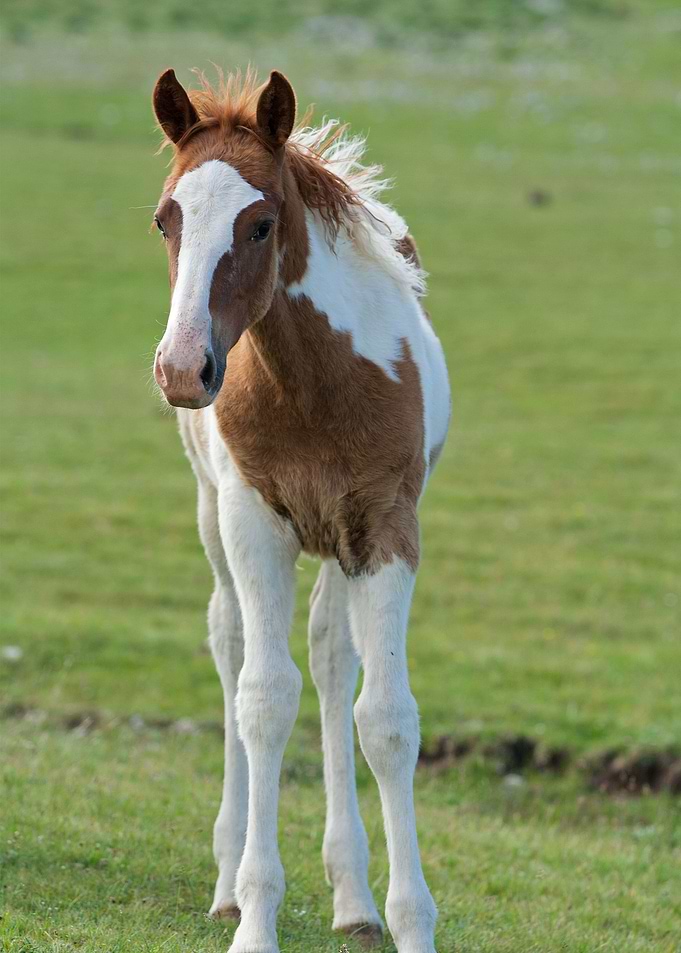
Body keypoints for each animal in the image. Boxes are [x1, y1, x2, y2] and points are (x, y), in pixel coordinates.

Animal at [150, 67, 450, 953]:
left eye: (260, 223)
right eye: (166, 217)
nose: (184, 367)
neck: (321, 385)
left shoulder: (386, 528)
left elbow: (384, 717)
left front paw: (408, 919)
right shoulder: (255, 522)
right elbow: (262, 698)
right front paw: (255, 916)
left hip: (337, 543)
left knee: (329, 656)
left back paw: (352, 896)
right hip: (215, 514)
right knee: (230, 641)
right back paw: (226, 881)